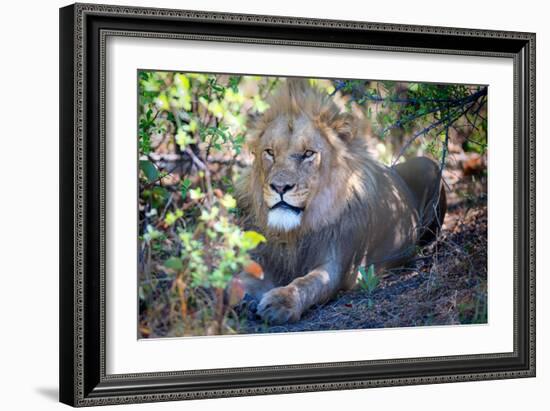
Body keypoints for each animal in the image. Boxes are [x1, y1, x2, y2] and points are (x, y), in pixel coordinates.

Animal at [235, 79, 446, 326]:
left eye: (308, 153)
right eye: (269, 152)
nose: (279, 187)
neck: (297, 231)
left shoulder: (335, 266)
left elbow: (307, 283)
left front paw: (281, 302)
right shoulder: (269, 258)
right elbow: (240, 278)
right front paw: (240, 299)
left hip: (429, 165)